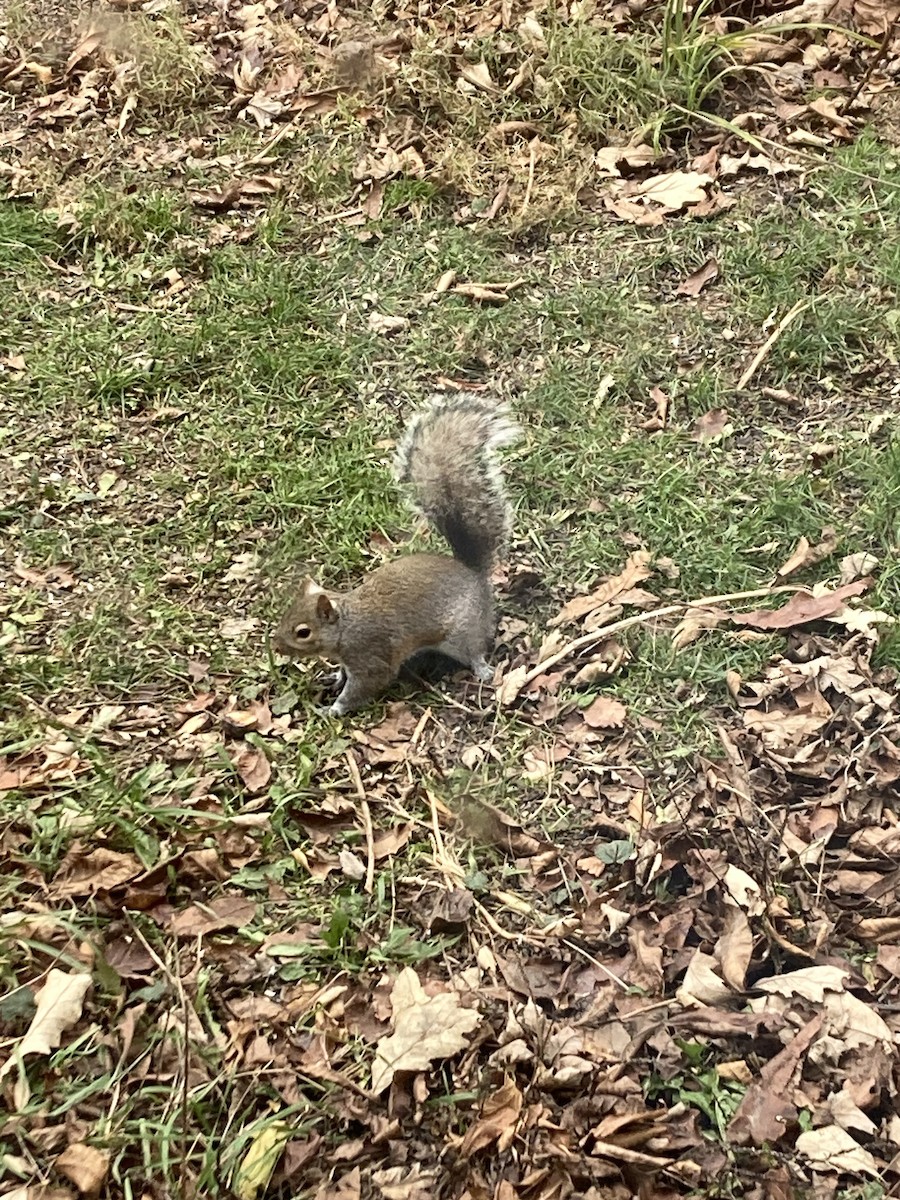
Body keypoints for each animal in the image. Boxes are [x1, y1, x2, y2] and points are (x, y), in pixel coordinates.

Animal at [273, 393, 519, 716]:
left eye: (303, 632)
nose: (276, 647)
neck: (346, 625)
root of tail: (472, 573)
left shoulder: (370, 655)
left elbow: (366, 684)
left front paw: (333, 710)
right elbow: (344, 674)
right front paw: (334, 677)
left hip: (463, 630)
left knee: (474, 648)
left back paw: (482, 669)